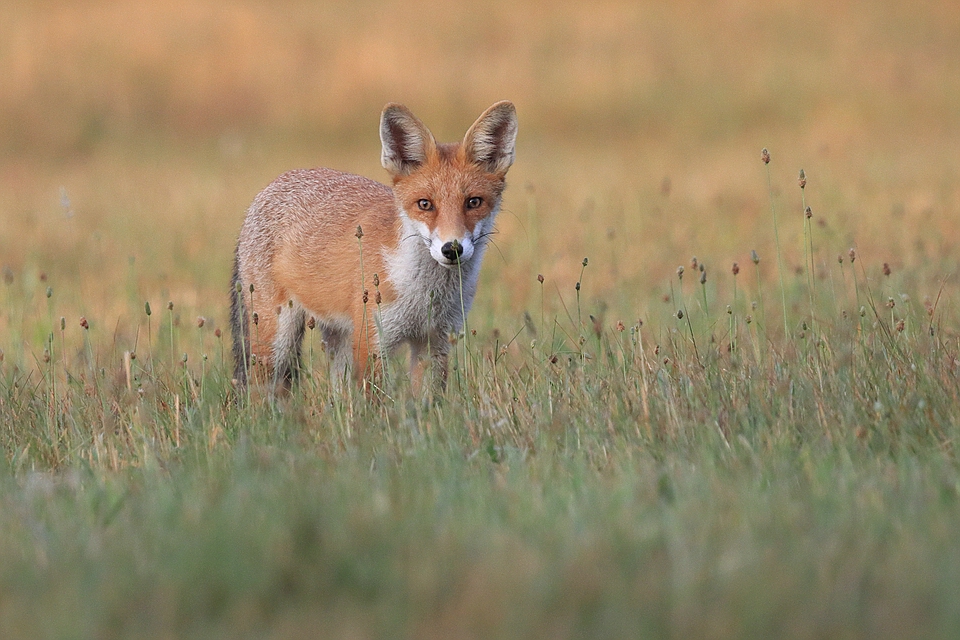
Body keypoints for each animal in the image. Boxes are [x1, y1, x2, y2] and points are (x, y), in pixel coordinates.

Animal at [229, 102, 516, 392]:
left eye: (473, 202)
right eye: (425, 204)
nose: (452, 249)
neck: (423, 296)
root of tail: (266, 190)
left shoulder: (435, 343)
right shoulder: (372, 341)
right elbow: (376, 399)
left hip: (339, 342)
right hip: (275, 344)